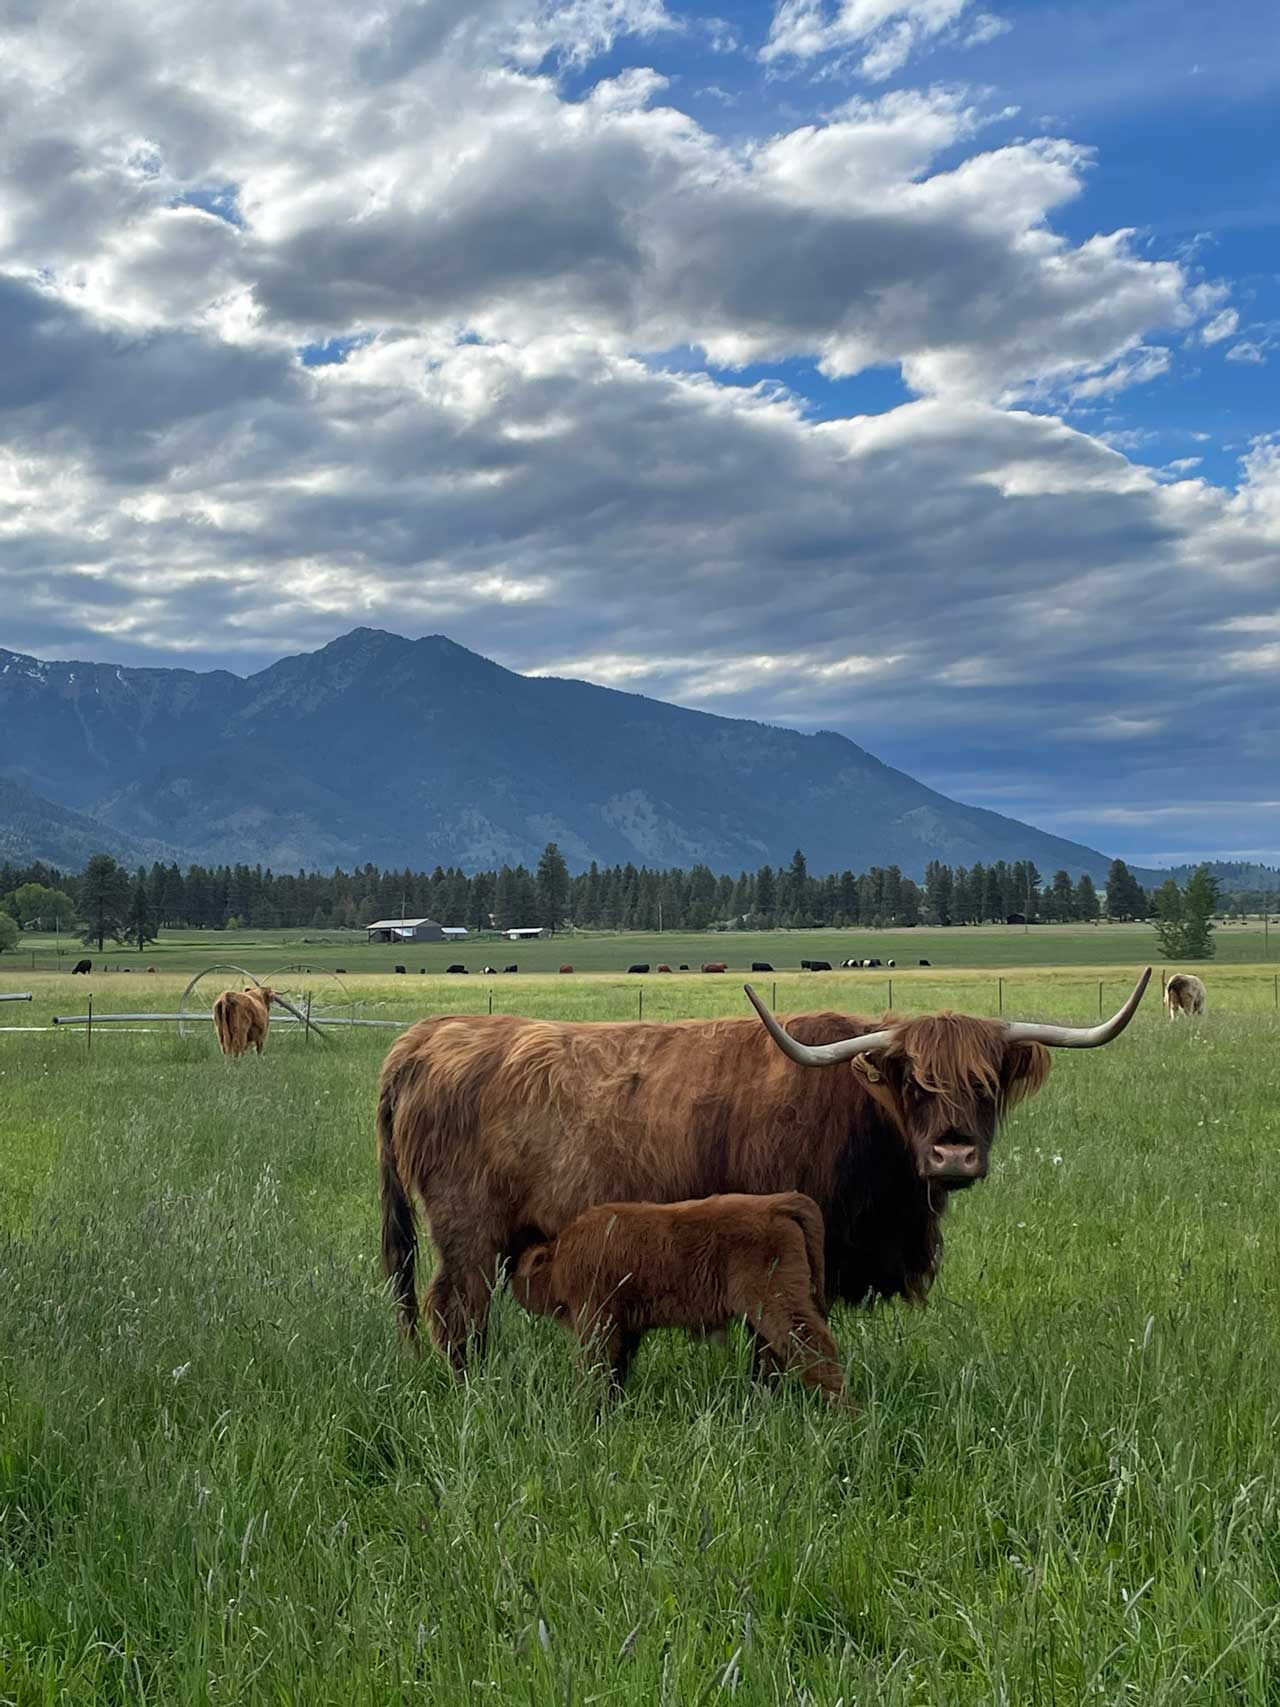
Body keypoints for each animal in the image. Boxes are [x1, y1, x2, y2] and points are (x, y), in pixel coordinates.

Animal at [380, 983, 1153, 1365]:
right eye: (914, 1083)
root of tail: (430, 1033)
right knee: (457, 1312)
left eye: (986, 1084)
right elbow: (776, 1343)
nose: (954, 1154)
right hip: (467, 1231)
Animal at [515, 1188, 846, 1399]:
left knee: (816, 1348)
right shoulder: (625, 1326)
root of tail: (779, 1203)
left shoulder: (596, 1318)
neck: (560, 1256)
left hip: (776, 1305)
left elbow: (595, 1366)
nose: (513, 1285)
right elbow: (617, 1368)